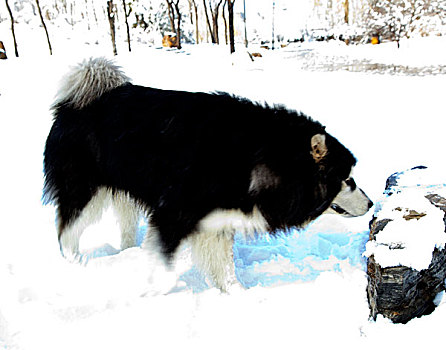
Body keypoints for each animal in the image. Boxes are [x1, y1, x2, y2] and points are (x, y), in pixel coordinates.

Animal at [44, 57, 372, 292]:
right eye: (348, 179)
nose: (371, 204)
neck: (256, 156)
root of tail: (75, 102)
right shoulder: (173, 213)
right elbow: (163, 265)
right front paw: (153, 290)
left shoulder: (217, 220)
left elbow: (224, 267)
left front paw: (236, 295)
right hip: (84, 191)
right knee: (67, 231)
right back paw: (74, 263)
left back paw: (127, 252)